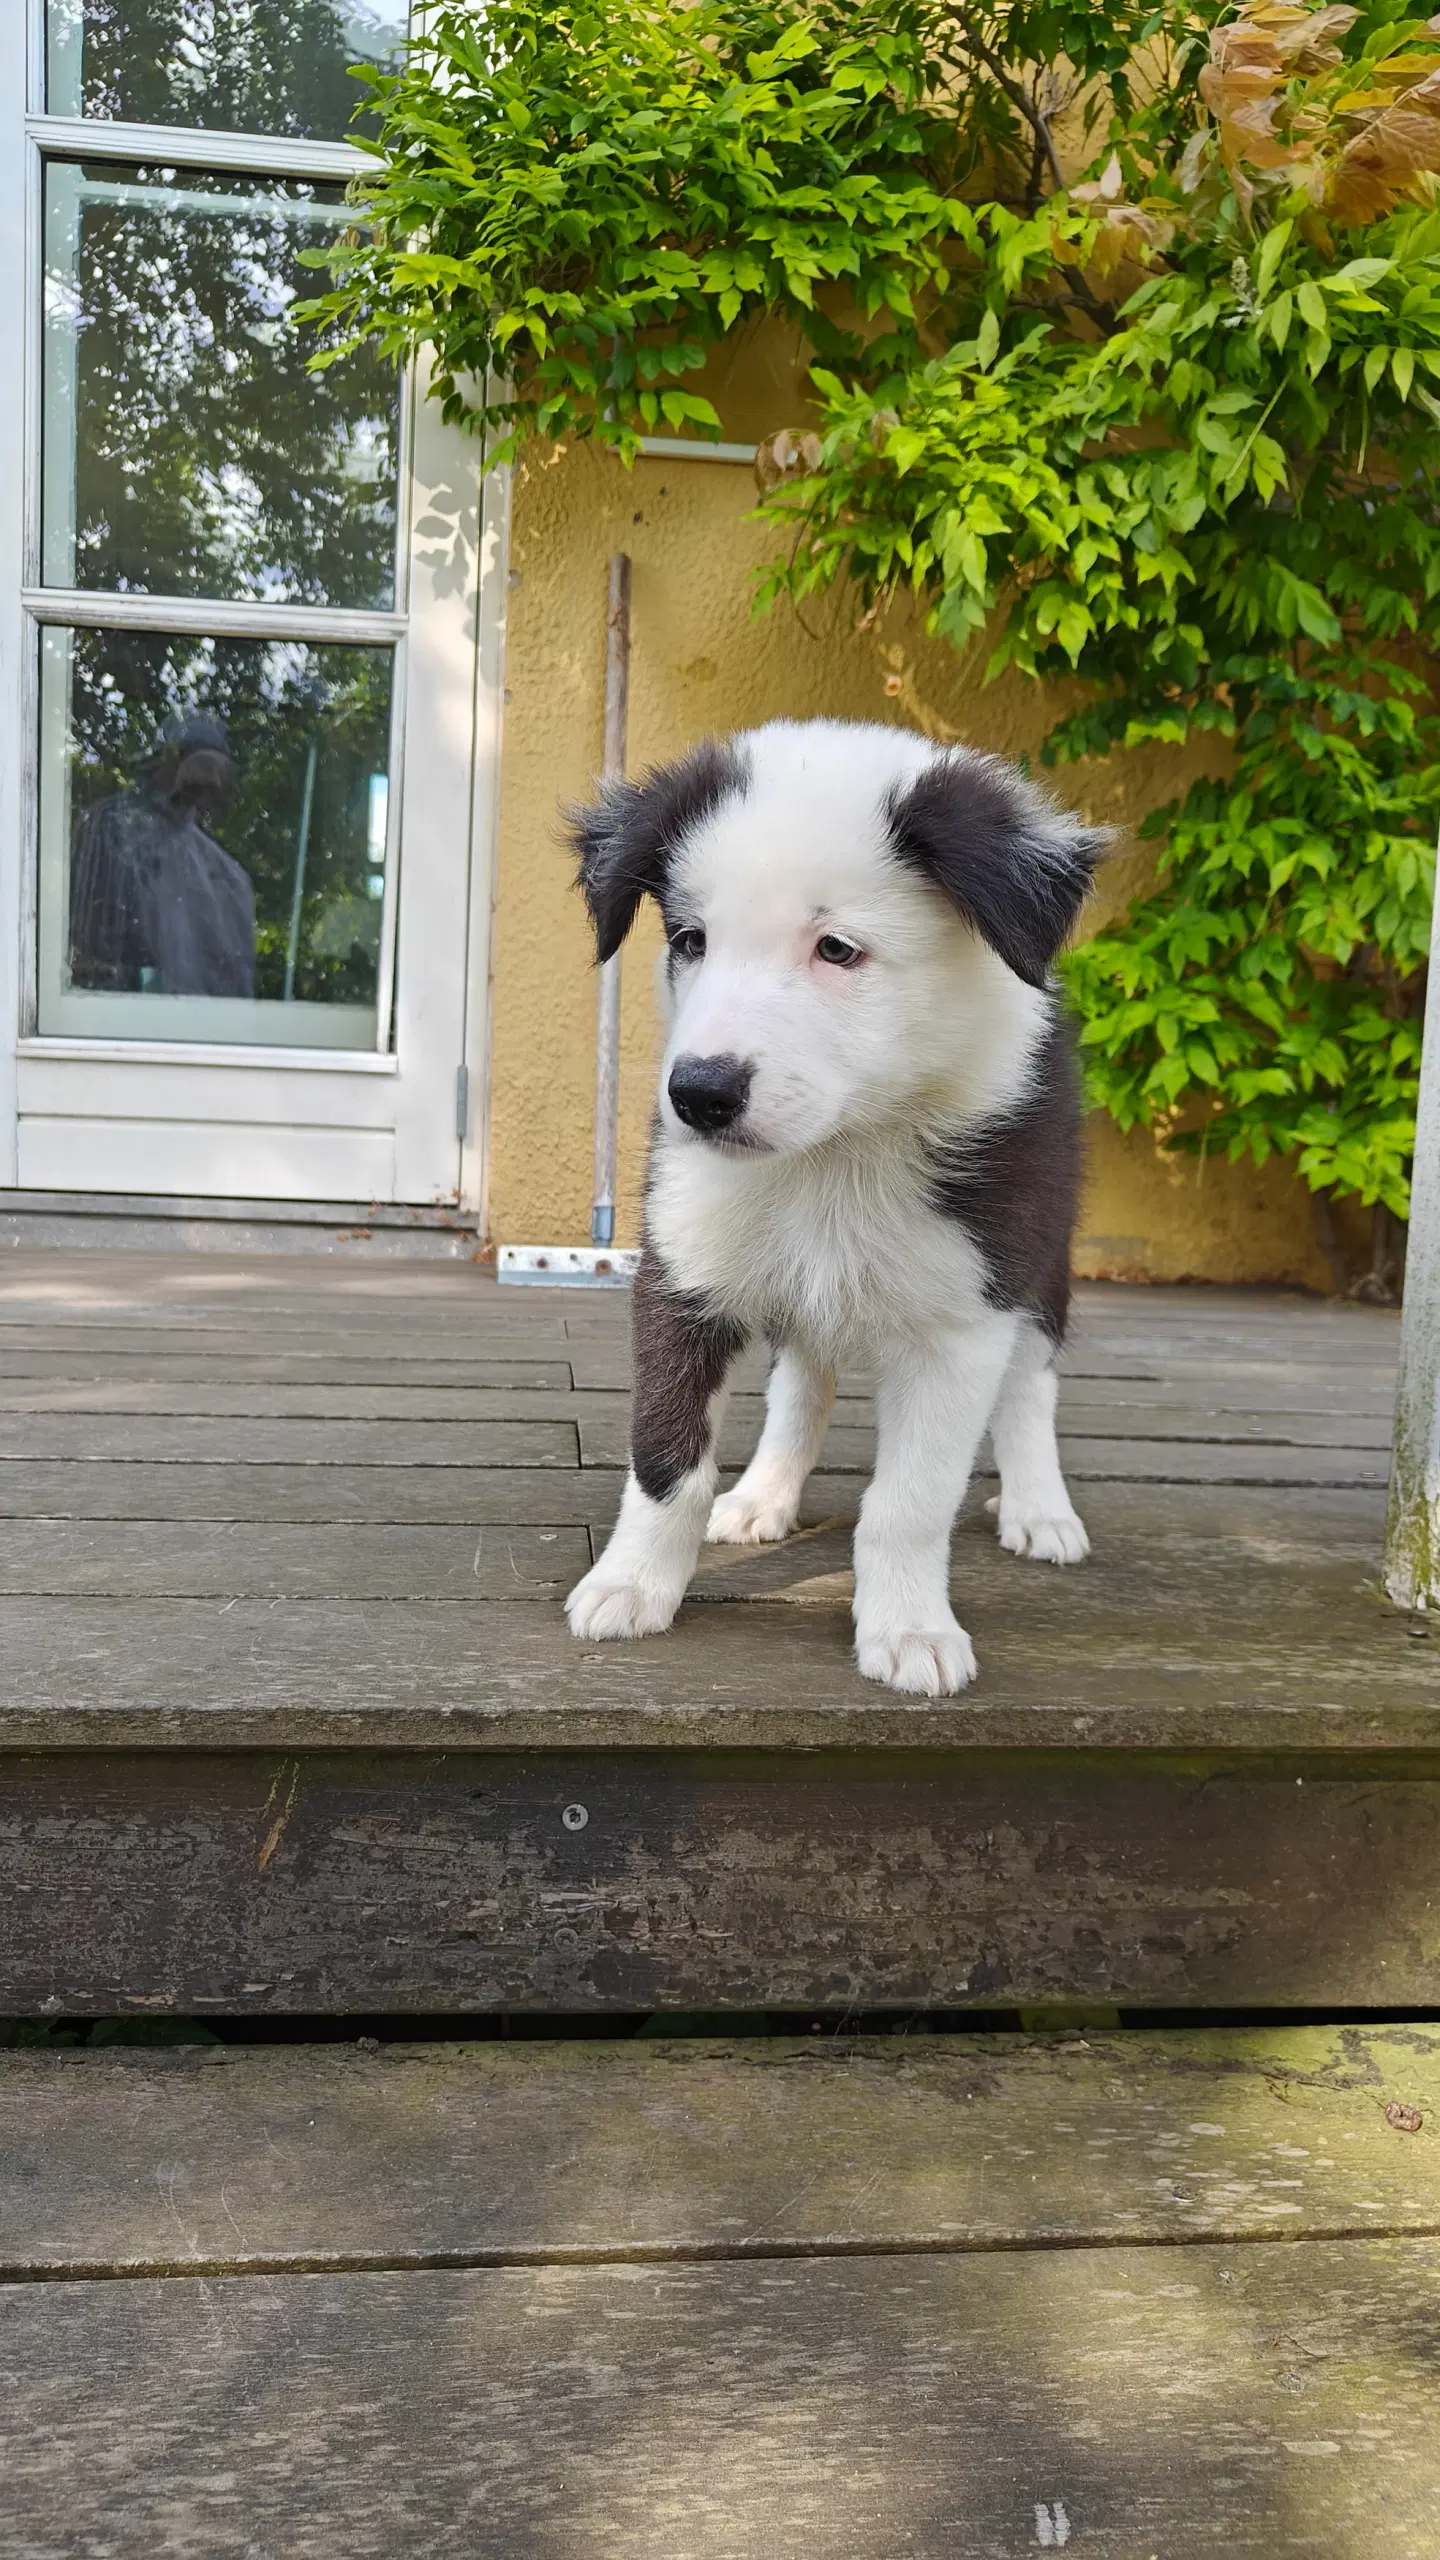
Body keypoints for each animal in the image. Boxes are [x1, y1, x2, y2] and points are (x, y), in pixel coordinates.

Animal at [561, 716, 1096, 1699]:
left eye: (837, 949)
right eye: (690, 939)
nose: (698, 1095)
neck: (832, 1157)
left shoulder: (964, 1315)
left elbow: (911, 1501)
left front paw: (911, 1629)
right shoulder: (683, 1270)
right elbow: (665, 1459)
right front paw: (632, 1585)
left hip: (1042, 1249)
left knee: (1032, 1382)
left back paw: (1041, 1507)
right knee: (802, 1379)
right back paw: (764, 1493)